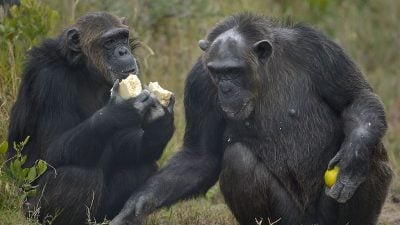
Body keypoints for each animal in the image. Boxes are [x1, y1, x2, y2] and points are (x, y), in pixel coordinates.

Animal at [6, 11, 175, 223]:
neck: (87, 71)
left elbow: (125, 143)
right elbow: (51, 148)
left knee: (140, 166)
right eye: (109, 41)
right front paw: (120, 109)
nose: (123, 51)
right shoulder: (50, 80)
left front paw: (160, 126)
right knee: (77, 177)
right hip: (28, 208)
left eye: (123, 37)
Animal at [111, 13, 392, 225]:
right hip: (291, 219)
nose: (226, 88)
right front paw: (138, 205)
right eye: (217, 72)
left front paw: (354, 156)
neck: (263, 73)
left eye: (234, 71)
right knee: (239, 159)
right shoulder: (199, 81)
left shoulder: (319, 50)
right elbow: (201, 155)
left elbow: (356, 98)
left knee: (372, 148)